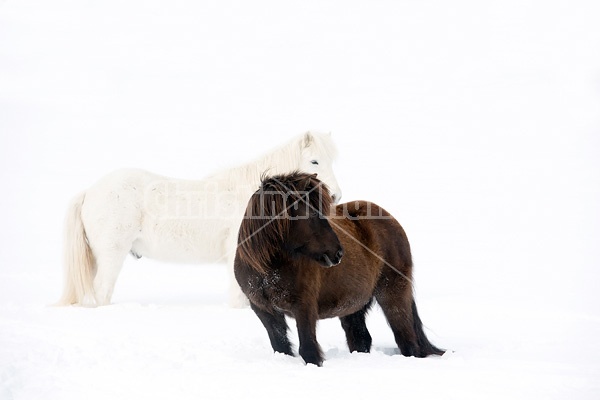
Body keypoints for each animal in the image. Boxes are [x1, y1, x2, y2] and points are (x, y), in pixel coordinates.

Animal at [237, 171, 442, 366]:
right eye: (312, 214)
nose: (338, 253)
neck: (269, 269)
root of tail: (392, 221)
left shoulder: (304, 307)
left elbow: (308, 350)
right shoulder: (265, 311)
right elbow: (281, 347)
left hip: (393, 295)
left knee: (406, 340)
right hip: (353, 306)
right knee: (361, 339)